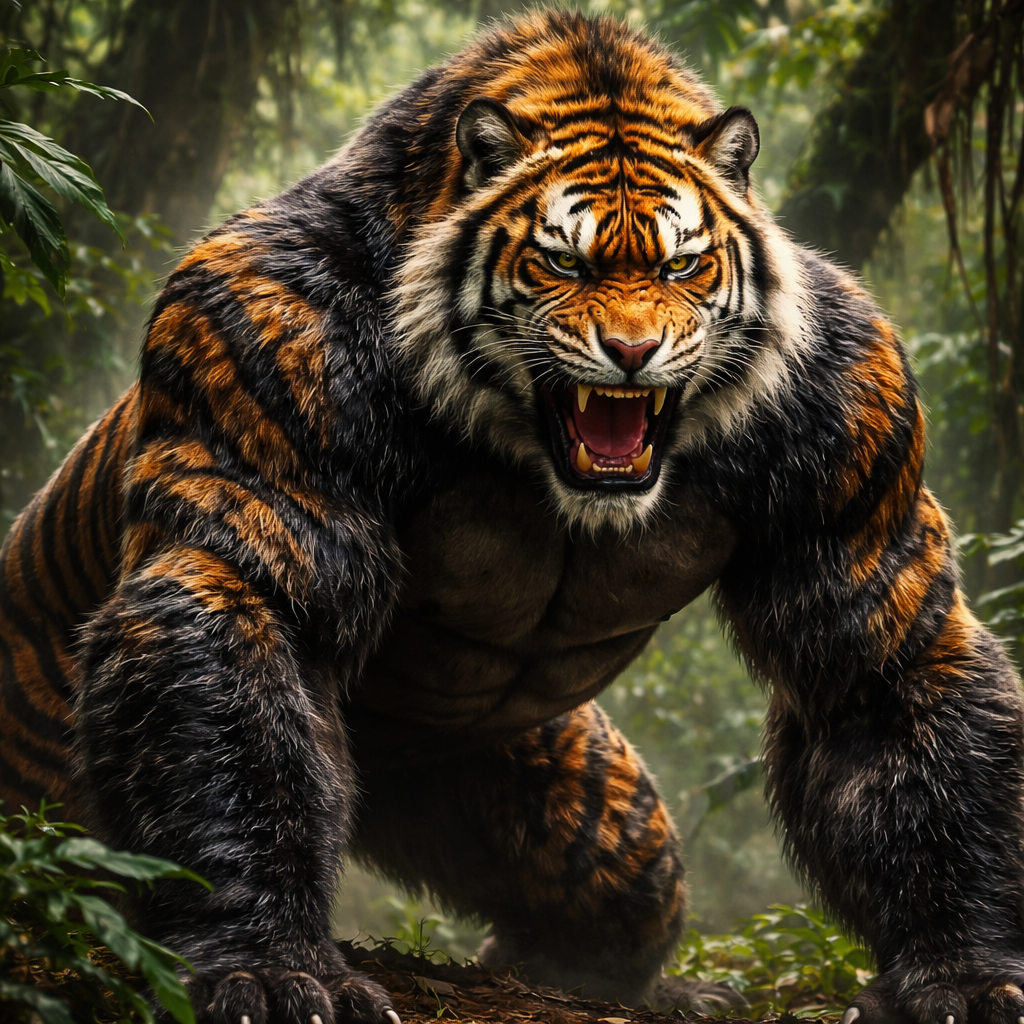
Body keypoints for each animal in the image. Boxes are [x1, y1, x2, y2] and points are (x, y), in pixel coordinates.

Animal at [3, 11, 1024, 1024]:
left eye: (683, 264)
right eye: (563, 260)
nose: (632, 350)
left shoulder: (856, 420)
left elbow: (884, 681)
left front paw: (965, 975)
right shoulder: (260, 366)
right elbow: (243, 695)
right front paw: (267, 968)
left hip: (579, 804)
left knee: (625, 897)